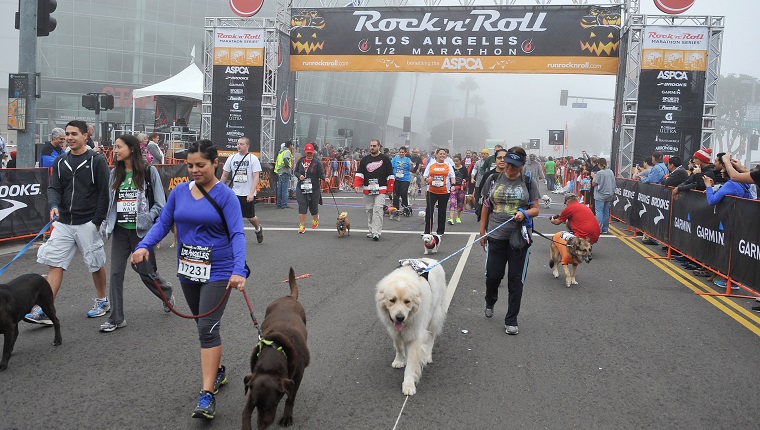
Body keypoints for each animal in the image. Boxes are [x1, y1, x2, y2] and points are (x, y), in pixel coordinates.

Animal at [243, 268, 308, 428]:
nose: (260, 427)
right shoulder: (252, 384)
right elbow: (246, 410)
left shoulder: (297, 378)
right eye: (256, 406)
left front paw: (286, 416)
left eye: (271, 405)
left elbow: (290, 398)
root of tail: (289, 297)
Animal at [374, 258, 446, 396]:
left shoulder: (415, 337)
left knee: (431, 338)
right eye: (392, 300)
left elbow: (411, 365)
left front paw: (408, 385)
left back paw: (427, 356)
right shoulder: (395, 331)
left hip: (434, 317)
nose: (400, 317)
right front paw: (399, 360)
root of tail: (434, 260)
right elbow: (399, 347)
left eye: (407, 301)